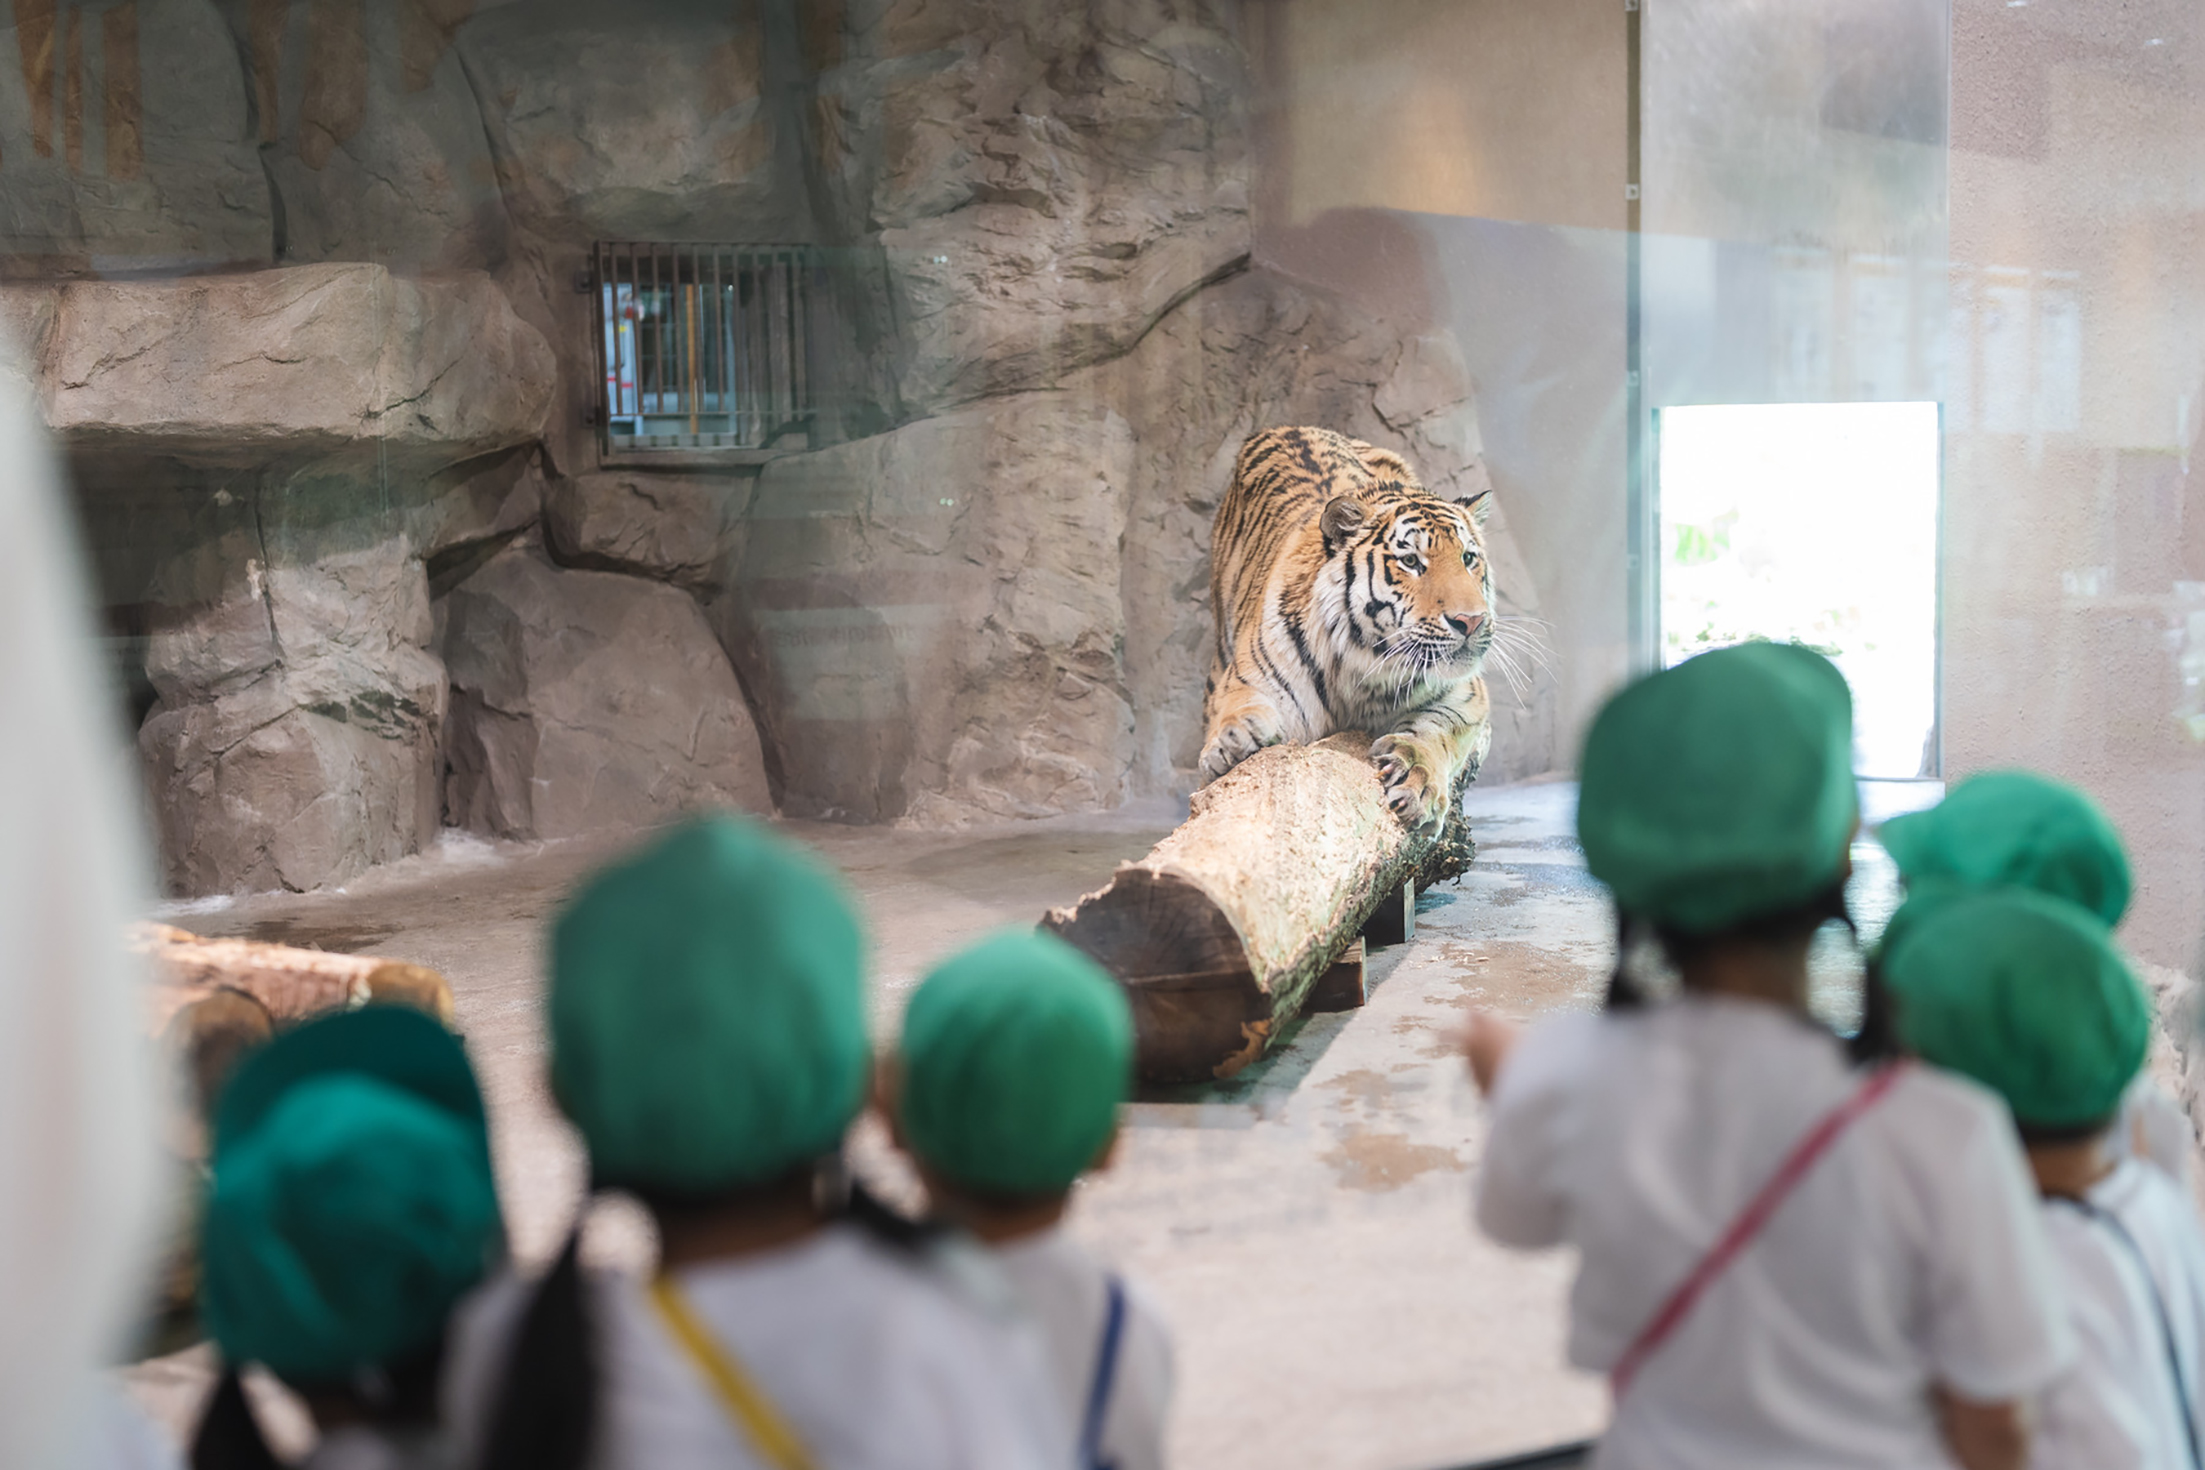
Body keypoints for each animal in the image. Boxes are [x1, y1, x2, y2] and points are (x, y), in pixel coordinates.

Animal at [1208, 431, 1499, 833]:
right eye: (1411, 561)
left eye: (1468, 558)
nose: (1470, 621)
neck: (1367, 662)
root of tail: (1289, 427)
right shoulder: (1249, 676)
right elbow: (1238, 704)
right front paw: (1235, 738)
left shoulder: (1465, 695)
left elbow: (1438, 729)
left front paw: (1418, 779)